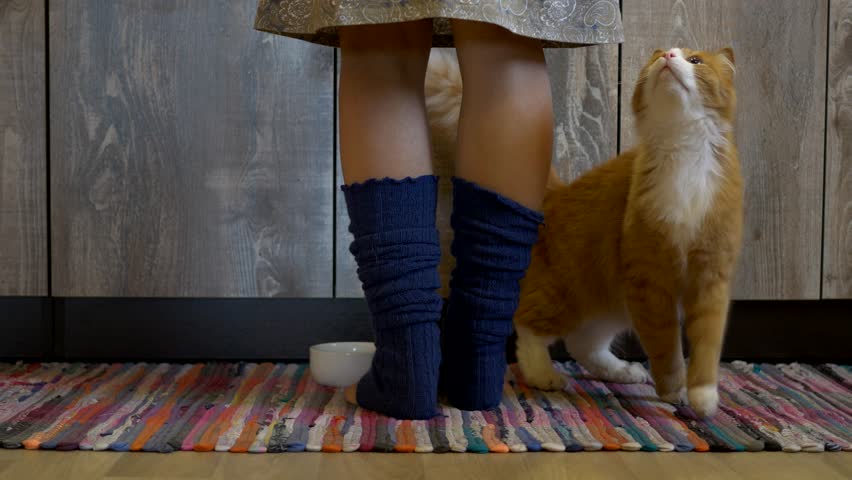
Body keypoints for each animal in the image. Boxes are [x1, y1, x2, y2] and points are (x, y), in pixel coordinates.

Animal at [422, 47, 744, 418]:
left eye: (695, 61)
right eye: (655, 59)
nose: (668, 54)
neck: (684, 154)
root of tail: (559, 194)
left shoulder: (710, 277)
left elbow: (706, 347)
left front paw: (703, 397)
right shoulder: (650, 281)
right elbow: (666, 348)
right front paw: (673, 388)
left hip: (610, 301)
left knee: (582, 344)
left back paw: (623, 371)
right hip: (566, 292)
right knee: (529, 327)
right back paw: (543, 374)